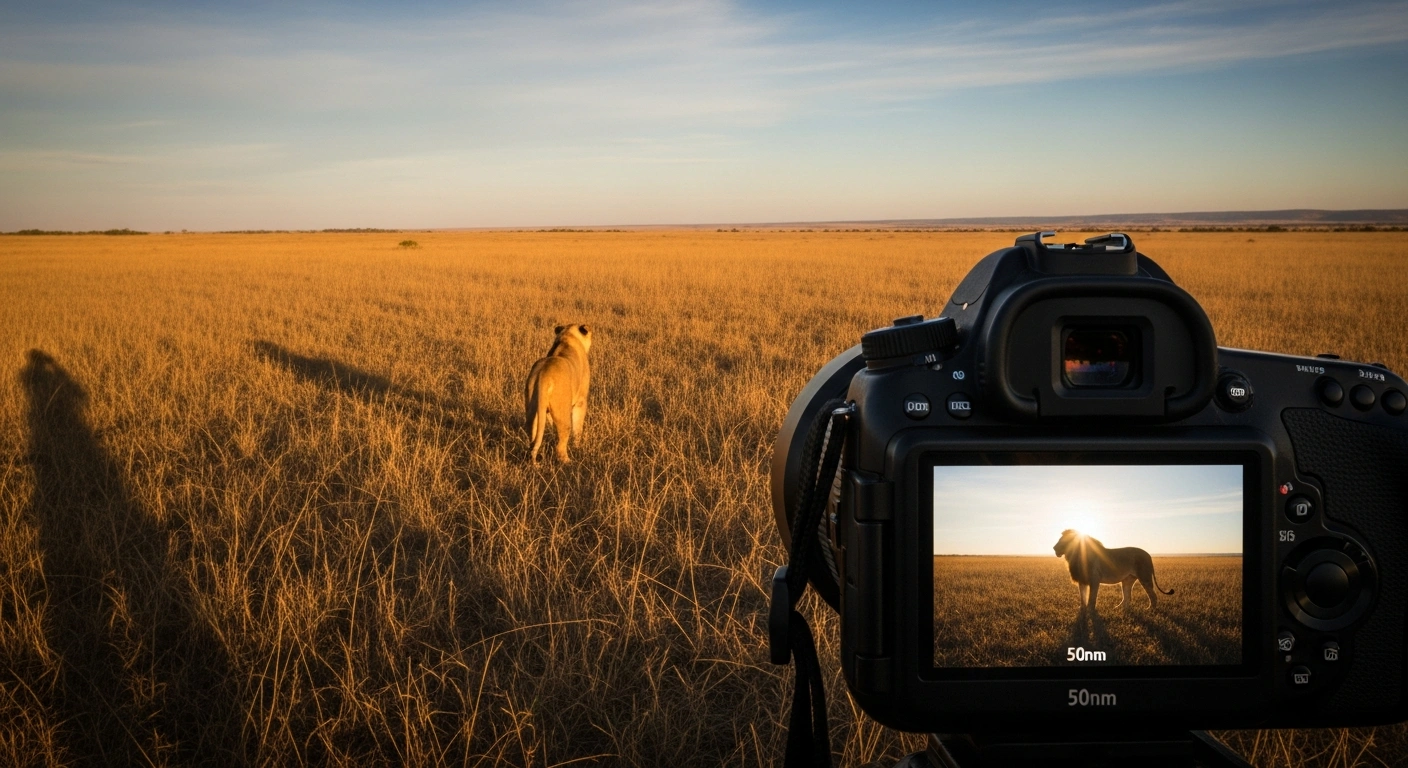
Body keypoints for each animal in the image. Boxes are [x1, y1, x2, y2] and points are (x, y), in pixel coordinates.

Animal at [524, 323, 592, 463]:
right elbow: (578, 427)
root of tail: (543, 375)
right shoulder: (581, 401)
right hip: (563, 412)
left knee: (532, 438)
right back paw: (569, 462)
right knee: (560, 445)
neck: (567, 336)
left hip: (532, 408)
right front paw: (577, 446)